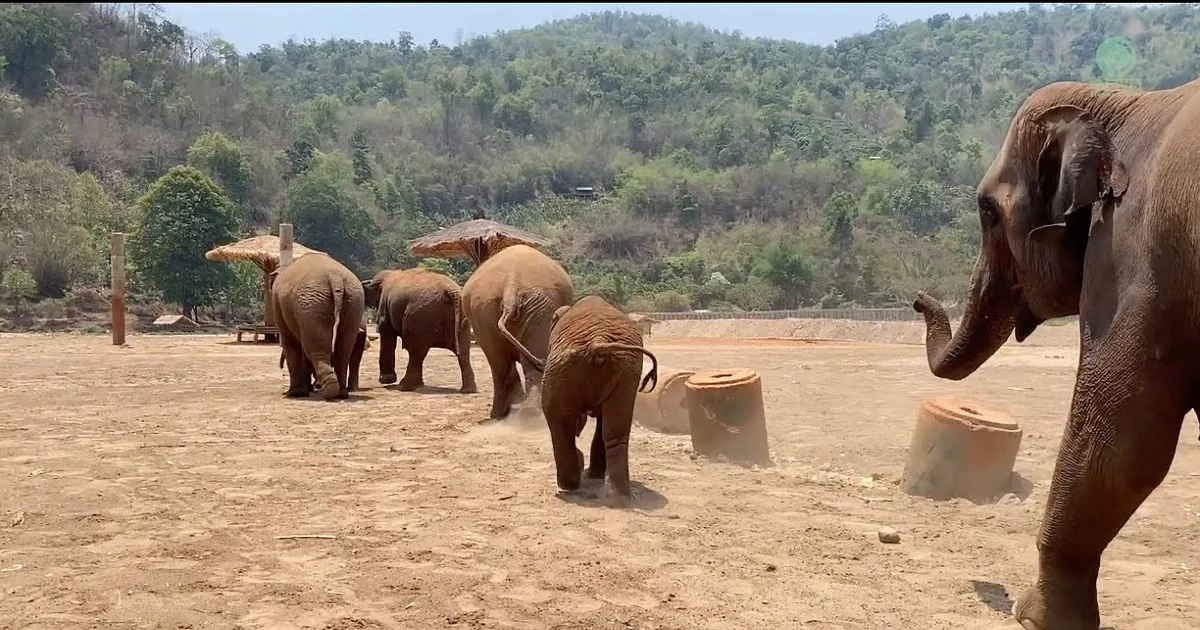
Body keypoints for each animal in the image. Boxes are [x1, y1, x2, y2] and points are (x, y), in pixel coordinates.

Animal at [269, 252, 366, 401]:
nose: (279, 367)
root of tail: (335, 278)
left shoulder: (278, 306)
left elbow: (290, 343)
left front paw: (295, 394)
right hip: (353, 301)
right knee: (344, 349)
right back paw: (341, 393)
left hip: (311, 306)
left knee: (316, 349)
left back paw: (330, 392)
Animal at [462, 244, 574, 420]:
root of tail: (511, 285)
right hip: (537, 306)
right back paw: (526, 413)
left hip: (485, 308)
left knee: (498, 362)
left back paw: (508, 414)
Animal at [509, 295, 658, 506]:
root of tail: (599, 342)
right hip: (625, 371)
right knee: (615, 430)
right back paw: (617, 497)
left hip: (561, 370)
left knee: (558, 423)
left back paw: (570, 484)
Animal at [912, 78, 1200, 629]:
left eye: (986, 211)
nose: (917, 299)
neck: (1124, 102)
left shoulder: (1131, 255)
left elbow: (1120, 439)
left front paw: (1034, 617)